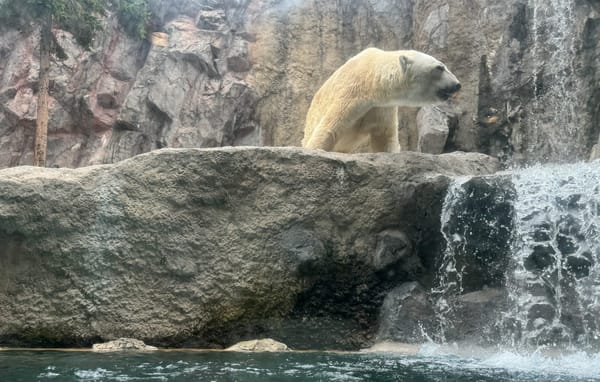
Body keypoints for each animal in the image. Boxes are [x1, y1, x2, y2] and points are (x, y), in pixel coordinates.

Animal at [302, 48, 462, 153]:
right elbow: (329, 128)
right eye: (440, 67)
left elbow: (384, 137)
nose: (457, 84)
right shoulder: (350, 93)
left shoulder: (382, 106)